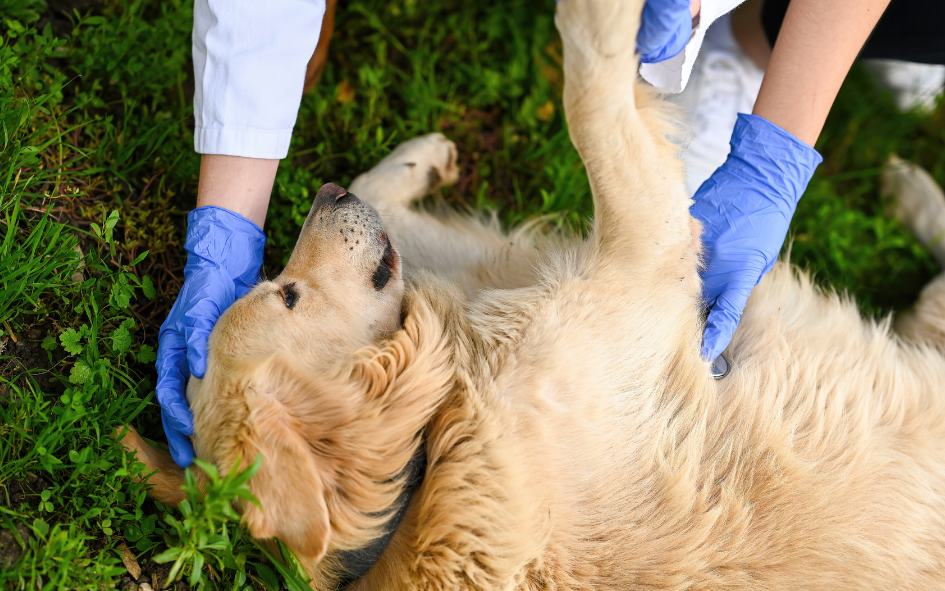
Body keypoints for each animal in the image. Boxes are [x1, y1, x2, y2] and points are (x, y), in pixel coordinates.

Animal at [123, 0, 944, 588]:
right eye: (287, 295)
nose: (320, 190)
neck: (431, 445)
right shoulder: (643, 255)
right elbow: (590, 92)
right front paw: (613, 19)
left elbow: (391, 210)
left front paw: (413, 162)